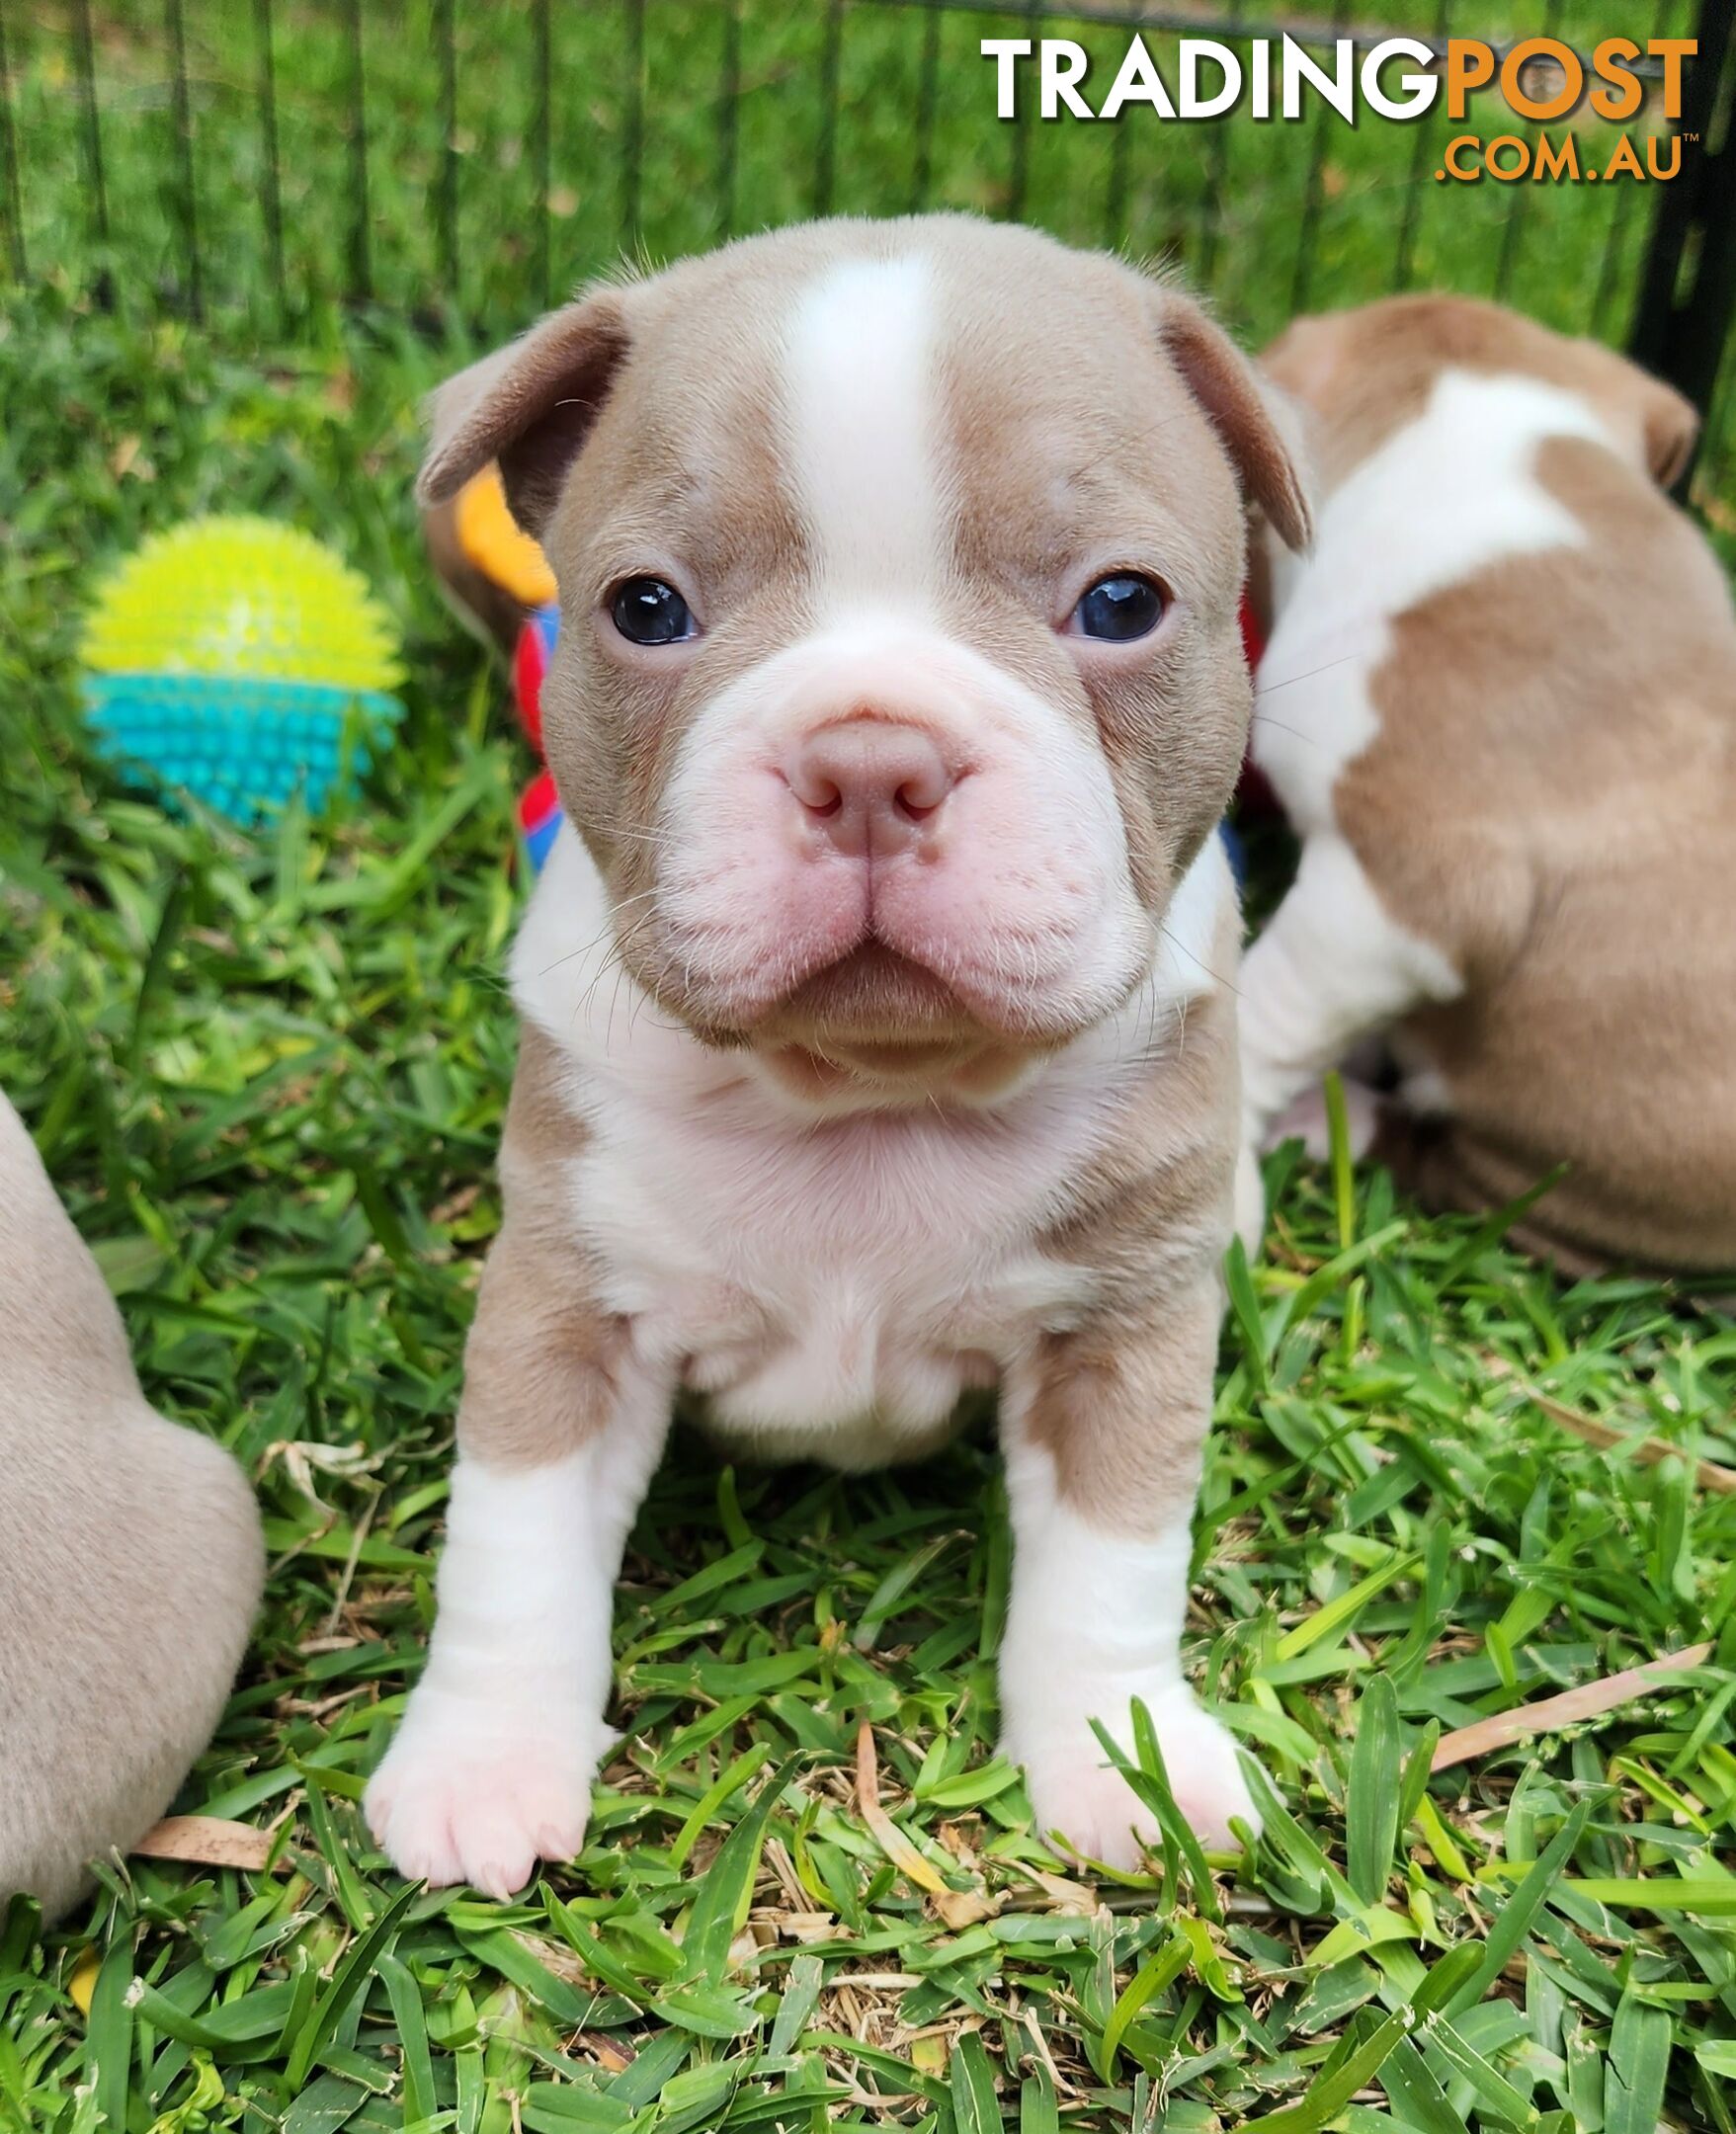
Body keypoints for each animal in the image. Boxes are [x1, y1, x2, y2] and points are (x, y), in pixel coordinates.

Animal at [365, 207, 1306, 1895]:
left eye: (1121, 604)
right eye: (647, 609)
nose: (872, 762)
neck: (871, 1087)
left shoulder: (1121, 1336)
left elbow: (1115, 1558)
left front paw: (1120, 1756)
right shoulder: (564, 1306)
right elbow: (513, 1542)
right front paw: (483, 1761)